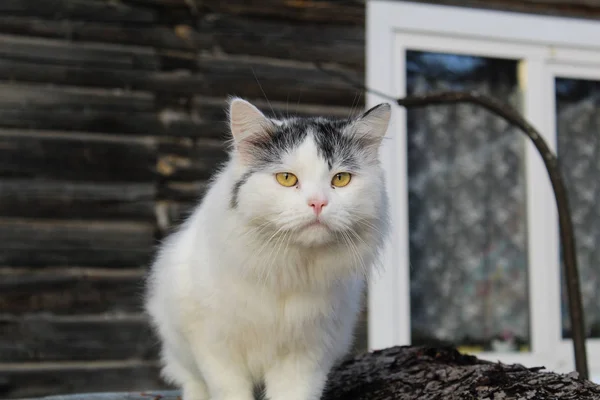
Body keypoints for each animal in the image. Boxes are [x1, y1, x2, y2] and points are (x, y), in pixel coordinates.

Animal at [144, 97, 392, 400]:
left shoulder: (305, 358)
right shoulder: (217, 351)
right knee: (193, 384)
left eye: (341, 179)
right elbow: (230, 393)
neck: (290, 269)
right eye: (286, 178)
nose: (318, 203)